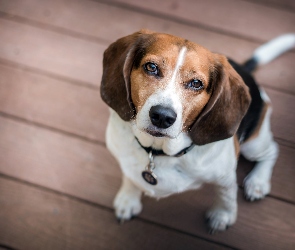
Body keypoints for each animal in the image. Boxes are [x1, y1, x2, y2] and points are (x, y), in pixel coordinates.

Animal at [100, 30, 294, 232]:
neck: (160, 151)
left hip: (253, 144)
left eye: (196, 83)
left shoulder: (225, 176)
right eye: (151, 67)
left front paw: (222, 215)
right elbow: (130, 178)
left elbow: (226, 196)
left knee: (272, 150)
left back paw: (258, 182)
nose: (162, 116)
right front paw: (128, 199)